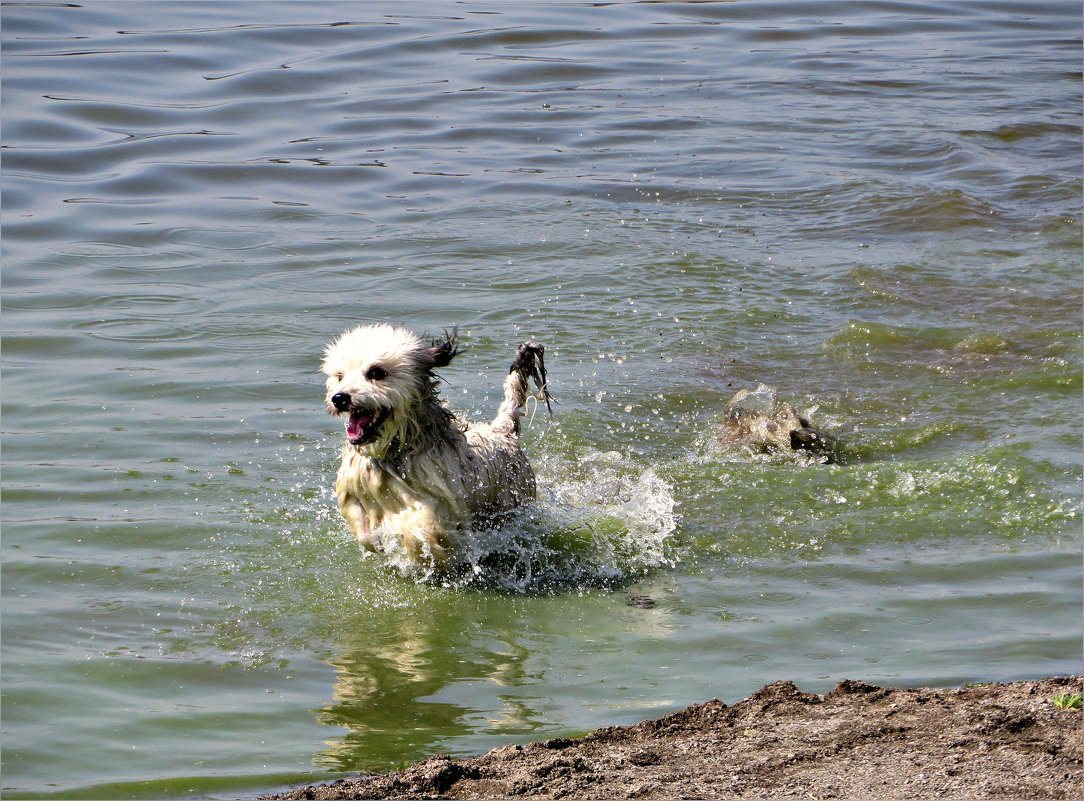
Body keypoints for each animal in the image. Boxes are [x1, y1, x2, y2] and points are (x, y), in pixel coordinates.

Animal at [316, 325, 546, 563]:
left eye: (376, 373)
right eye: (340, 376)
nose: (339, 398)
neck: (393, 453)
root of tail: (503, 430)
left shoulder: (440, 502)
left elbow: (421, 528)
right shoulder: (353, 491)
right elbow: (362, 528)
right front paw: (378, 540)